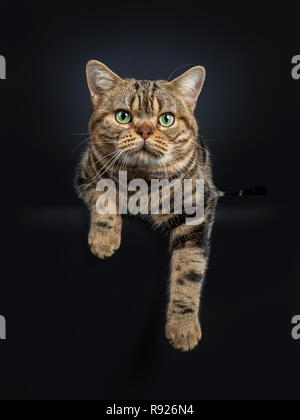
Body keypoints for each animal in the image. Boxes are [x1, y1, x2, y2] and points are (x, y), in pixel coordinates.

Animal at [75, 60, 218, 352]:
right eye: (123, 116)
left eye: (166, 119)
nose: (144, 131)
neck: (140, 180)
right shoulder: (85, 176)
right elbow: (105, 196)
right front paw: (103, 238)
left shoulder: (197, 211)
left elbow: (189, 271)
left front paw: (183, 325)